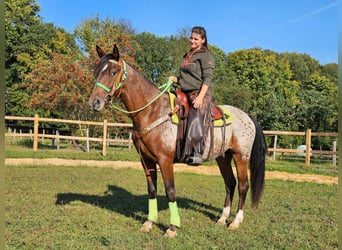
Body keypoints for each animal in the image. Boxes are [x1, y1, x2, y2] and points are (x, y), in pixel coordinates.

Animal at [88, 45, 268, 238]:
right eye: (96, 71)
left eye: (113, 72)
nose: (94, 102)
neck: (153, 111)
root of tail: (248, 116)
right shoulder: (146, 160)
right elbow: (152, 190)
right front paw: (149, 222)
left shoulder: (165, 160)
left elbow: (170, 191)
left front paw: (172, 228)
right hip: (223, 157)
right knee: (230, 183)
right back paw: (222, 219)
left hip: (240, 156)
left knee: (243, 186)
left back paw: (235, 221)